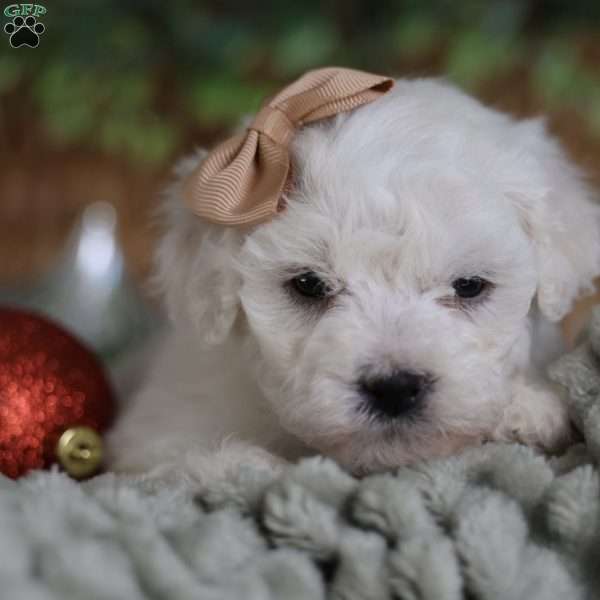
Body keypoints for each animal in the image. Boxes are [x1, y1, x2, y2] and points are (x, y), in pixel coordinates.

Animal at [106, 71, 600, 488]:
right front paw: (250, 466)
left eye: (469, 285)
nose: (394, 387)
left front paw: (528, 409)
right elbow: (186, 461)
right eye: (309, 285)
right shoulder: (159, 427)